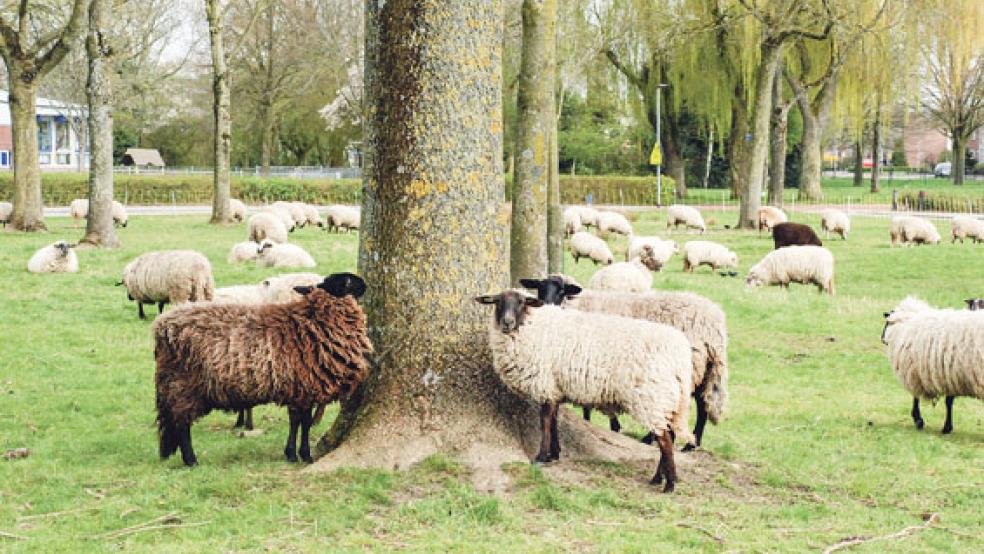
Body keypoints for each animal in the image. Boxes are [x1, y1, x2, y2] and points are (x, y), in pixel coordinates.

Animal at [154, 273, 372, 466]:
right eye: (347, 281)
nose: (365, 284)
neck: (314, 322)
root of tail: (162, 326)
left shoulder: (301, 389)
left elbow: (298, 421)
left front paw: (294, 454)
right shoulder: (304, 385)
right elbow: (303, 422)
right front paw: (302, 455)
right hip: (183, 384)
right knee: (182, 424)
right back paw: (191, 460)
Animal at [475, 289, 693, 491]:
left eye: (521, 302)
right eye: (498, 302)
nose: (507, 322)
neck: (531, 325)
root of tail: (681, 358)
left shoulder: (546, 385)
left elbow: (544, 421)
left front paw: (541, 457)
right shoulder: (556, 388)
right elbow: (554, 420)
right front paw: (554, 453)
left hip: (652, 398)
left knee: (665, 441)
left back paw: (668, 484)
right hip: (665, 400)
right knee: (669, 436)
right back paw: (660, 477)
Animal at [521, 276, 729, 451]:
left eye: (562, 291)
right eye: (539, 289)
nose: (547, 306)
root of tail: (715, 322)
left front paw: (608, 425)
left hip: (690, 366)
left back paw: (658, 439)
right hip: (705, 368)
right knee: (702, 404)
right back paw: (691, 443)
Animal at [881, 296, 984, 435]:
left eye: (887, 323)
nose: (882, 339)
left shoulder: (917, 370)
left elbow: (917, 396)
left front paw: (919, 420)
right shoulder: (950, 373)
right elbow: (949, 401)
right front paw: (946, 426)